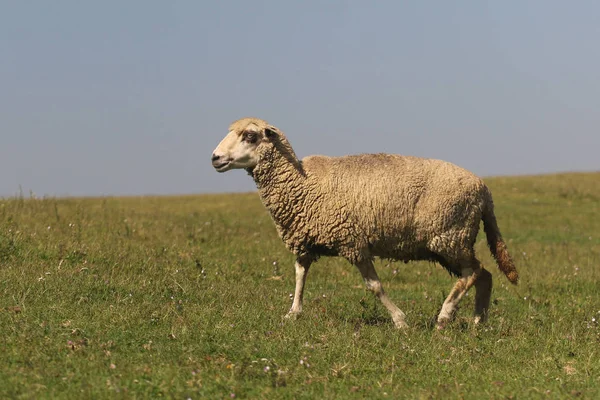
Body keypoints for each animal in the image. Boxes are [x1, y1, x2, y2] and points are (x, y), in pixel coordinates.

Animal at [210, 117, 516, 330]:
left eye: (250, 136)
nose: (215, 158)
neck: (301, 182)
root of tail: (484, 190)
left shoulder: (352, 242)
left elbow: (374, 286)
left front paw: (400, 320)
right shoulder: (305, 240)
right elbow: (299, 277)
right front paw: (292, 313)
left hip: (449, 235)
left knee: (472, 273)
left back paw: (444, 317)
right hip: (450, 241)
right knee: (483, 274)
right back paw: (478, 322)